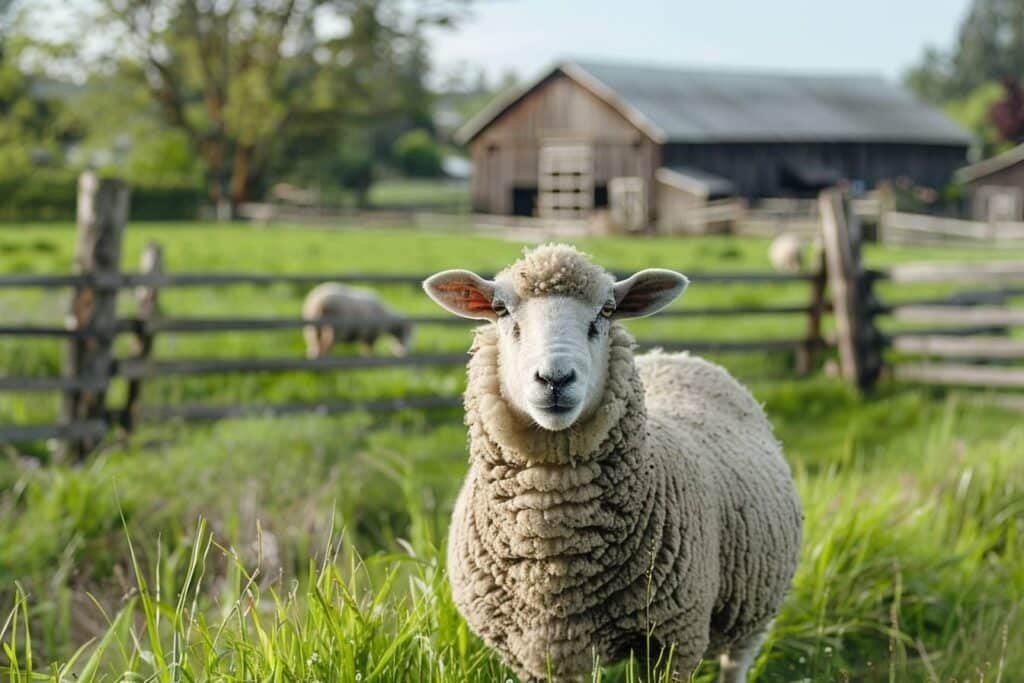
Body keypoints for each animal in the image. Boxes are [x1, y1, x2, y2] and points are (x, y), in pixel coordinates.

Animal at [421, 246, 798, 683]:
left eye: (606, 311)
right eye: (500, 309)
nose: (555, 379)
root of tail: (680, 357)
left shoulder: (672, 642)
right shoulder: (538, 653)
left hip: (753, 610)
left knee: (735, 662)